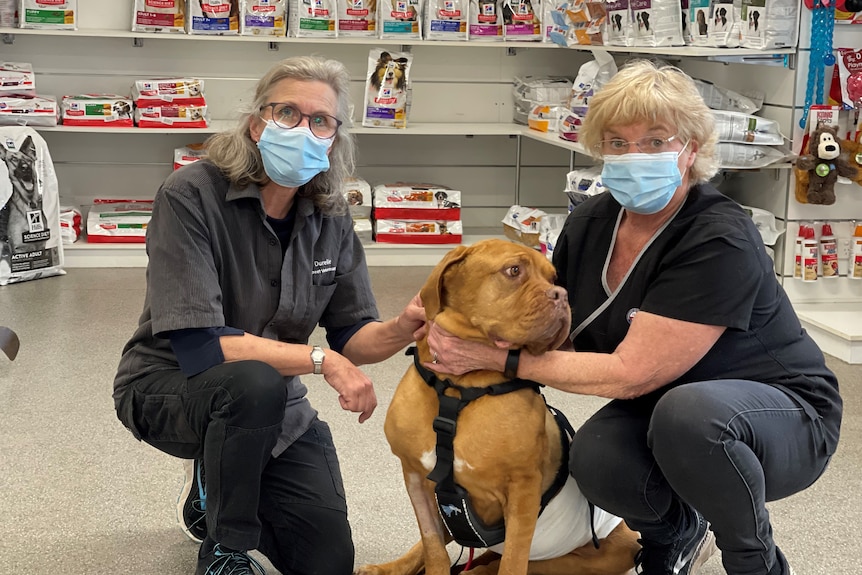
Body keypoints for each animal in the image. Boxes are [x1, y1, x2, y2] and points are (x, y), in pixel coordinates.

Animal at [356, 238, 640, 575]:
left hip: (576, 559)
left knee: (495, 565)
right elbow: (432, 548)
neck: (458, 386)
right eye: (514, 270)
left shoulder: (522, 492)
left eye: (553, 279)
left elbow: (513, 560)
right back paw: (385, 568)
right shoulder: (416, 479)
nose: (561, 295)